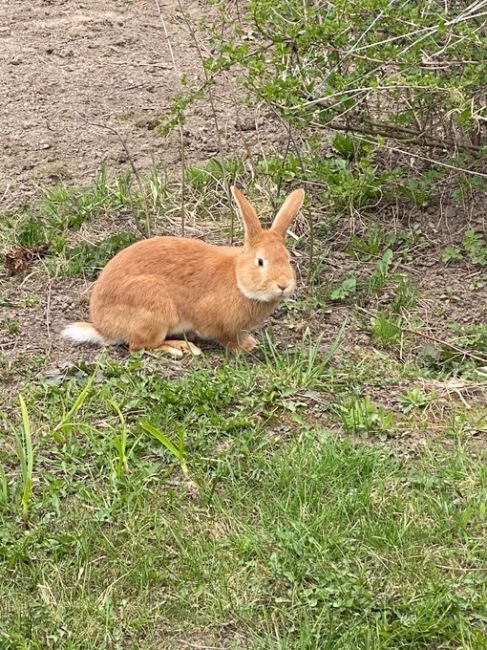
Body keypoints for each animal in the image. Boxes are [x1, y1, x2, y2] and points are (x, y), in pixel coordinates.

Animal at [61, 185, 304, 356]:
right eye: (260, 261)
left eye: (288, 259)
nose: (283, 285)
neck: (237, 279)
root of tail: (102, 326)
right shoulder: (215, 323)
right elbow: (225, 338)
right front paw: (244, 348)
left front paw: (251, 343)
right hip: (154, 309)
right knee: (138, 347)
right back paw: (180, 348)